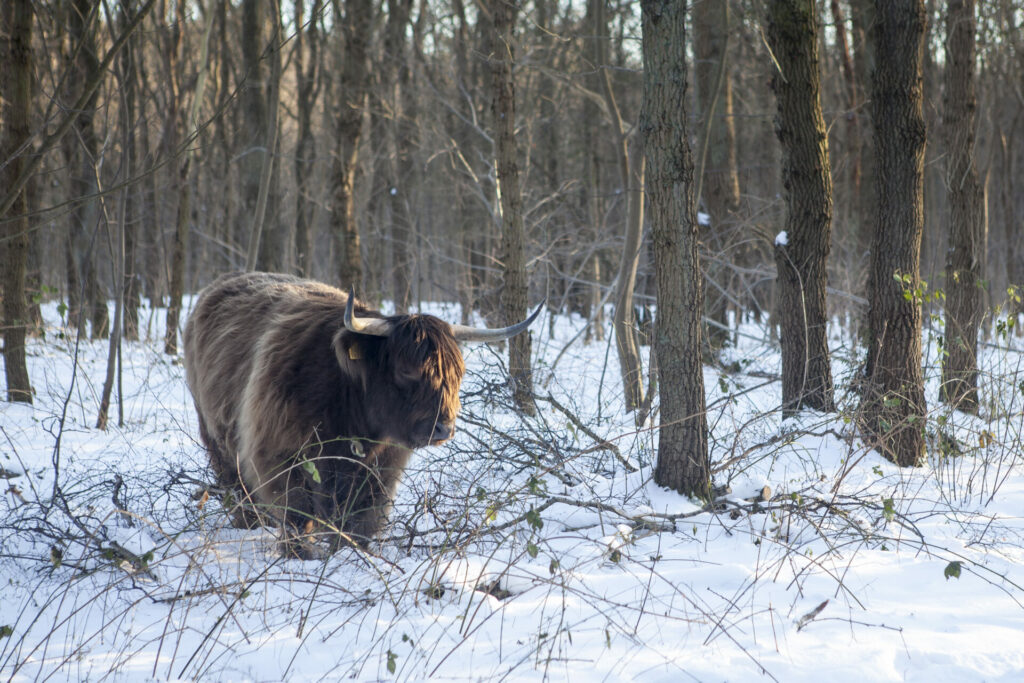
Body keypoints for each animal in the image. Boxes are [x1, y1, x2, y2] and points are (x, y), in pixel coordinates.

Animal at [182, 270, 544, 552]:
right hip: (214, 433)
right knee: (235, 484)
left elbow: (363, 518)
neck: (351, 408)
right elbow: (297, 512)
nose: (444, 428)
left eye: (459, 373)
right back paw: (249, 523)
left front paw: (350, 551)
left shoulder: (381, 469)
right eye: (407, 370)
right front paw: (299, 554)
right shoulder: (278, 453)